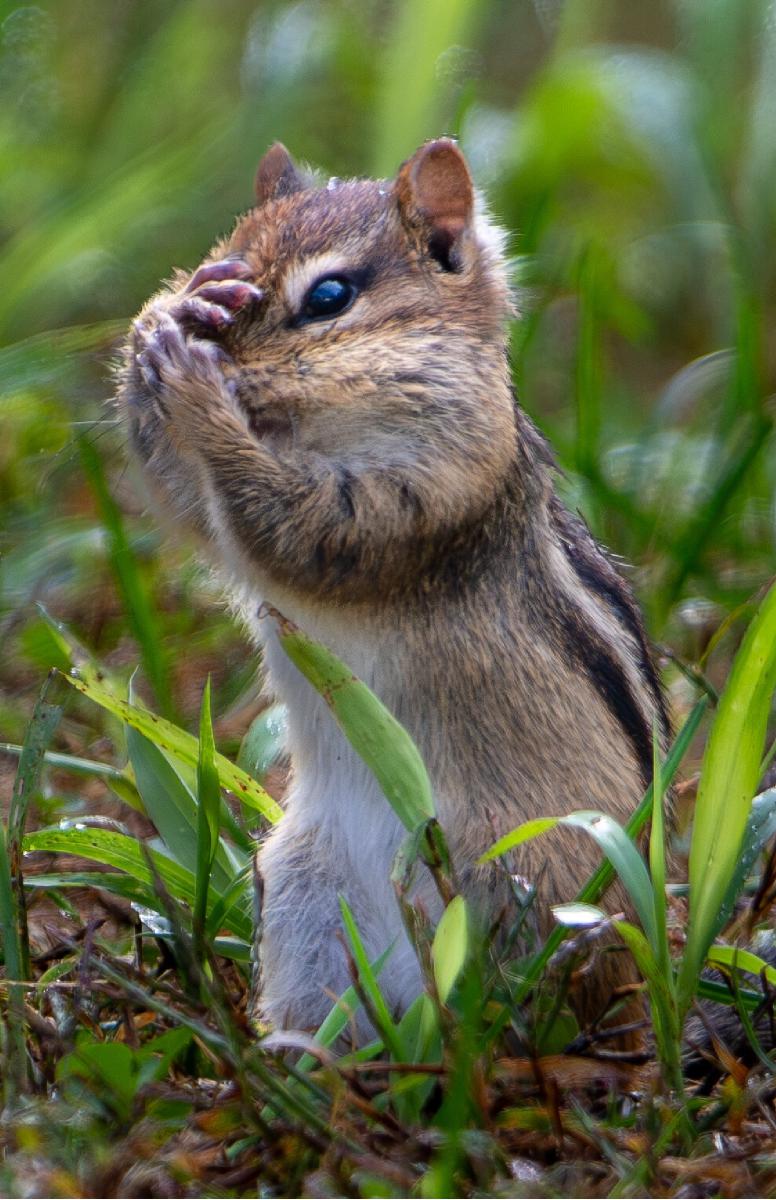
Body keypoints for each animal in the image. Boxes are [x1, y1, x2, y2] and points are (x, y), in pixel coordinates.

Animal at [119, 139, 670, 1046]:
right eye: (227, 252)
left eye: (329, 298)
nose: (214, 329)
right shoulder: (205, 512)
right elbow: (182, 502)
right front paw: (173, 310)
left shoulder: (435, 486)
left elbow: (309, 531)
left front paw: (200, 392)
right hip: (304, 884)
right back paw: (305, 1049)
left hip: (511, 881)